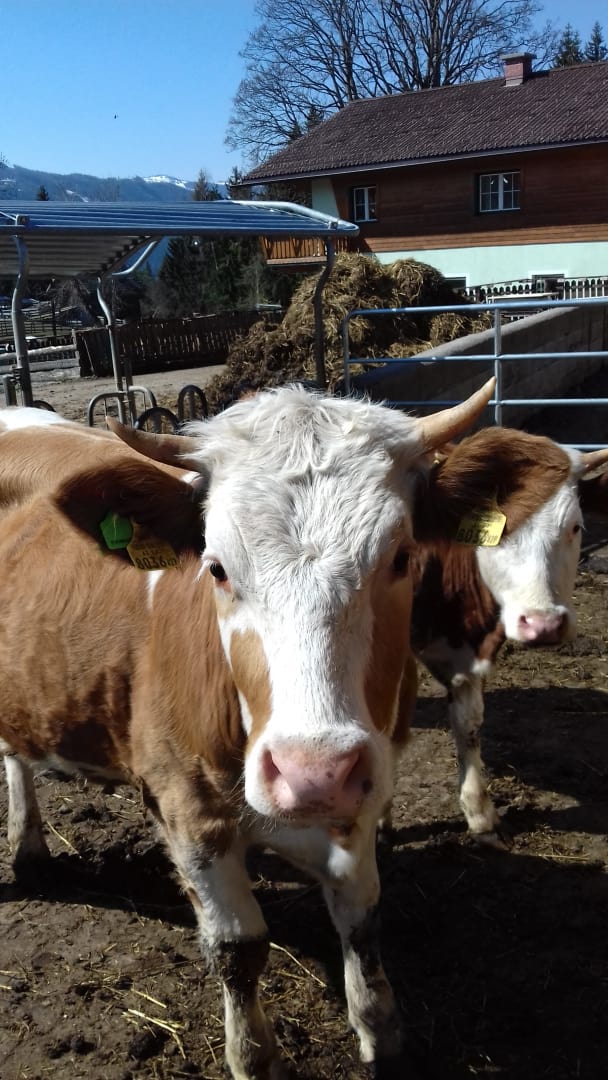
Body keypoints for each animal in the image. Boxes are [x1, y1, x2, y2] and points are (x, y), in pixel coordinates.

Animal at [0, 378, 564, 1079]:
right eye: (215, 567)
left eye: (402, 556)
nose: (312, 773)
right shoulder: (186, 809)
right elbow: (238, 947)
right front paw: (253, 1055)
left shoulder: (362, 790)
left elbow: (361, 918)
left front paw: (379, 1030)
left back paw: (28, 845)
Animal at [409, 427, 608, 845]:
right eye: (499, 535)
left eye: (575, 527)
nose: (544, 624)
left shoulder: (467, 659)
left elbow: (469, 724)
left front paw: (479, 812)